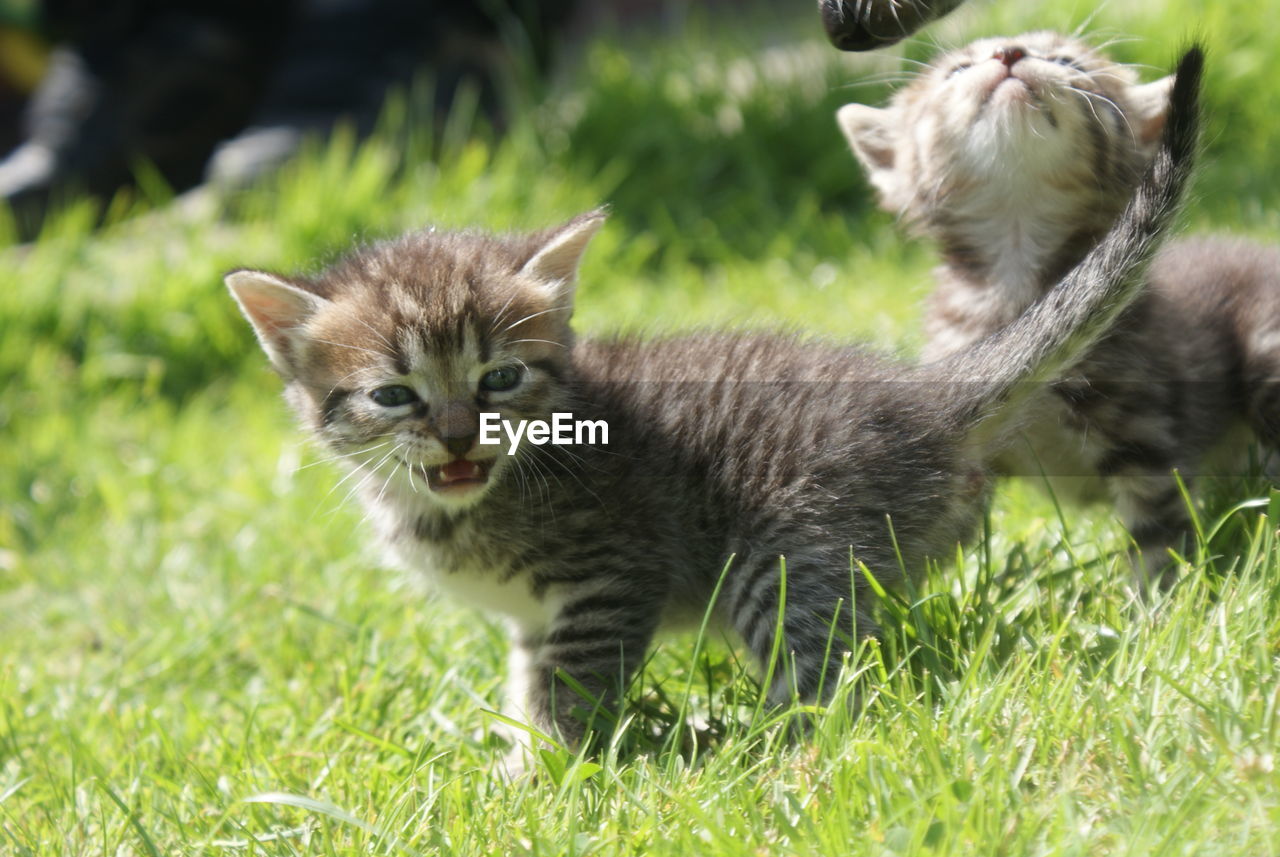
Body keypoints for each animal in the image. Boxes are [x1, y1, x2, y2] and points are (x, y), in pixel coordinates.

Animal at [225, 50, 1192, 757]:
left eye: (499, 378)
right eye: (396, 396)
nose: (461, 435)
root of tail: (921, 394)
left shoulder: (610, 572)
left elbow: (572, 690)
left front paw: (548, 777)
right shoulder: (534, 619)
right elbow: (530, 681)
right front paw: (521, 756)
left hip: (792, 548)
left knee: (830, 686)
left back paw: (756, 751)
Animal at [834, 33, 1264, 583]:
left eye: (1065, 61)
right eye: (957, 71)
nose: (1009, 53)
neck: (1019, 280)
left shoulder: (1145, 437)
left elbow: (1156, 538)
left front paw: (1154, 601)